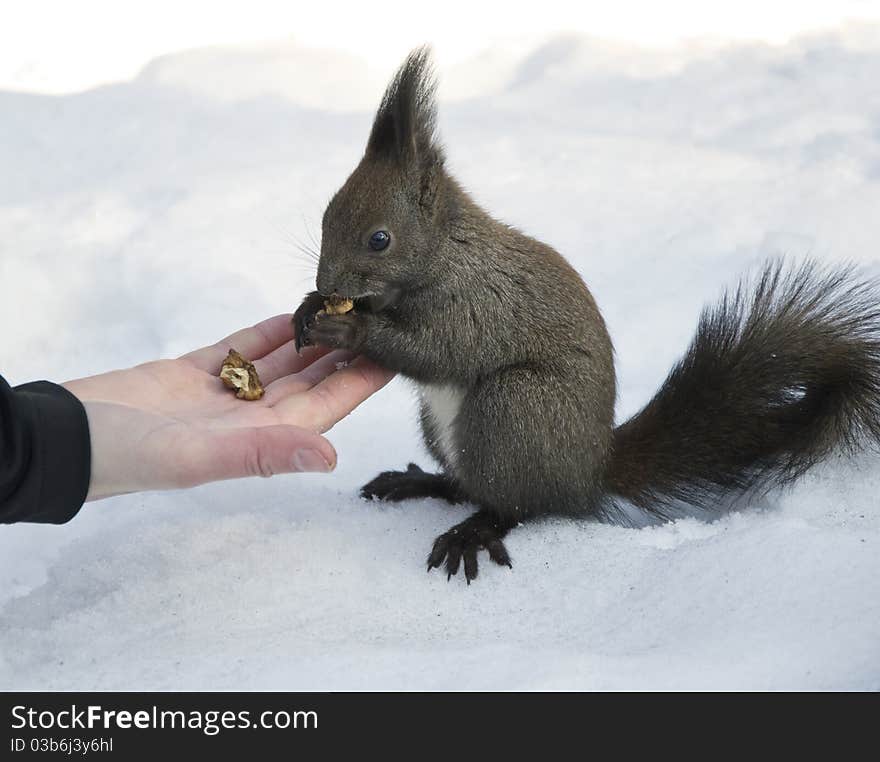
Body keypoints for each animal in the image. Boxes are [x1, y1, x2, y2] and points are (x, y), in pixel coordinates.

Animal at [294, 47, 880, 580]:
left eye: (380, 239)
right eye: (326, 215)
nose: (328, 286)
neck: (446, 251)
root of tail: (588, 475)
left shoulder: (477, 304)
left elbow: (437, 352)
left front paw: (350, 325)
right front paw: (308, 309)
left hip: (515, 408)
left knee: (517, 506)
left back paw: (473, 531)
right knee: (468, 486)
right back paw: (420, 482)